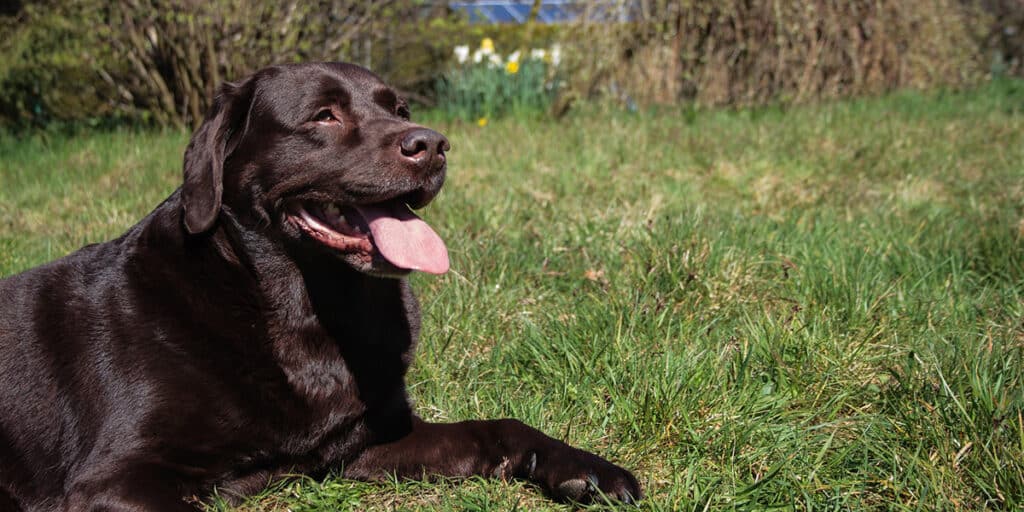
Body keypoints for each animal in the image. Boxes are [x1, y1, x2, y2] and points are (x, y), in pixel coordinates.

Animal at [0, 62, 638, 507]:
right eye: (324, 116)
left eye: (400, 107)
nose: (432, 144)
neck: (306, 308)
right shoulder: (117, 478)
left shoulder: (367, 440)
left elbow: (496, 428)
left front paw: (586, 470)